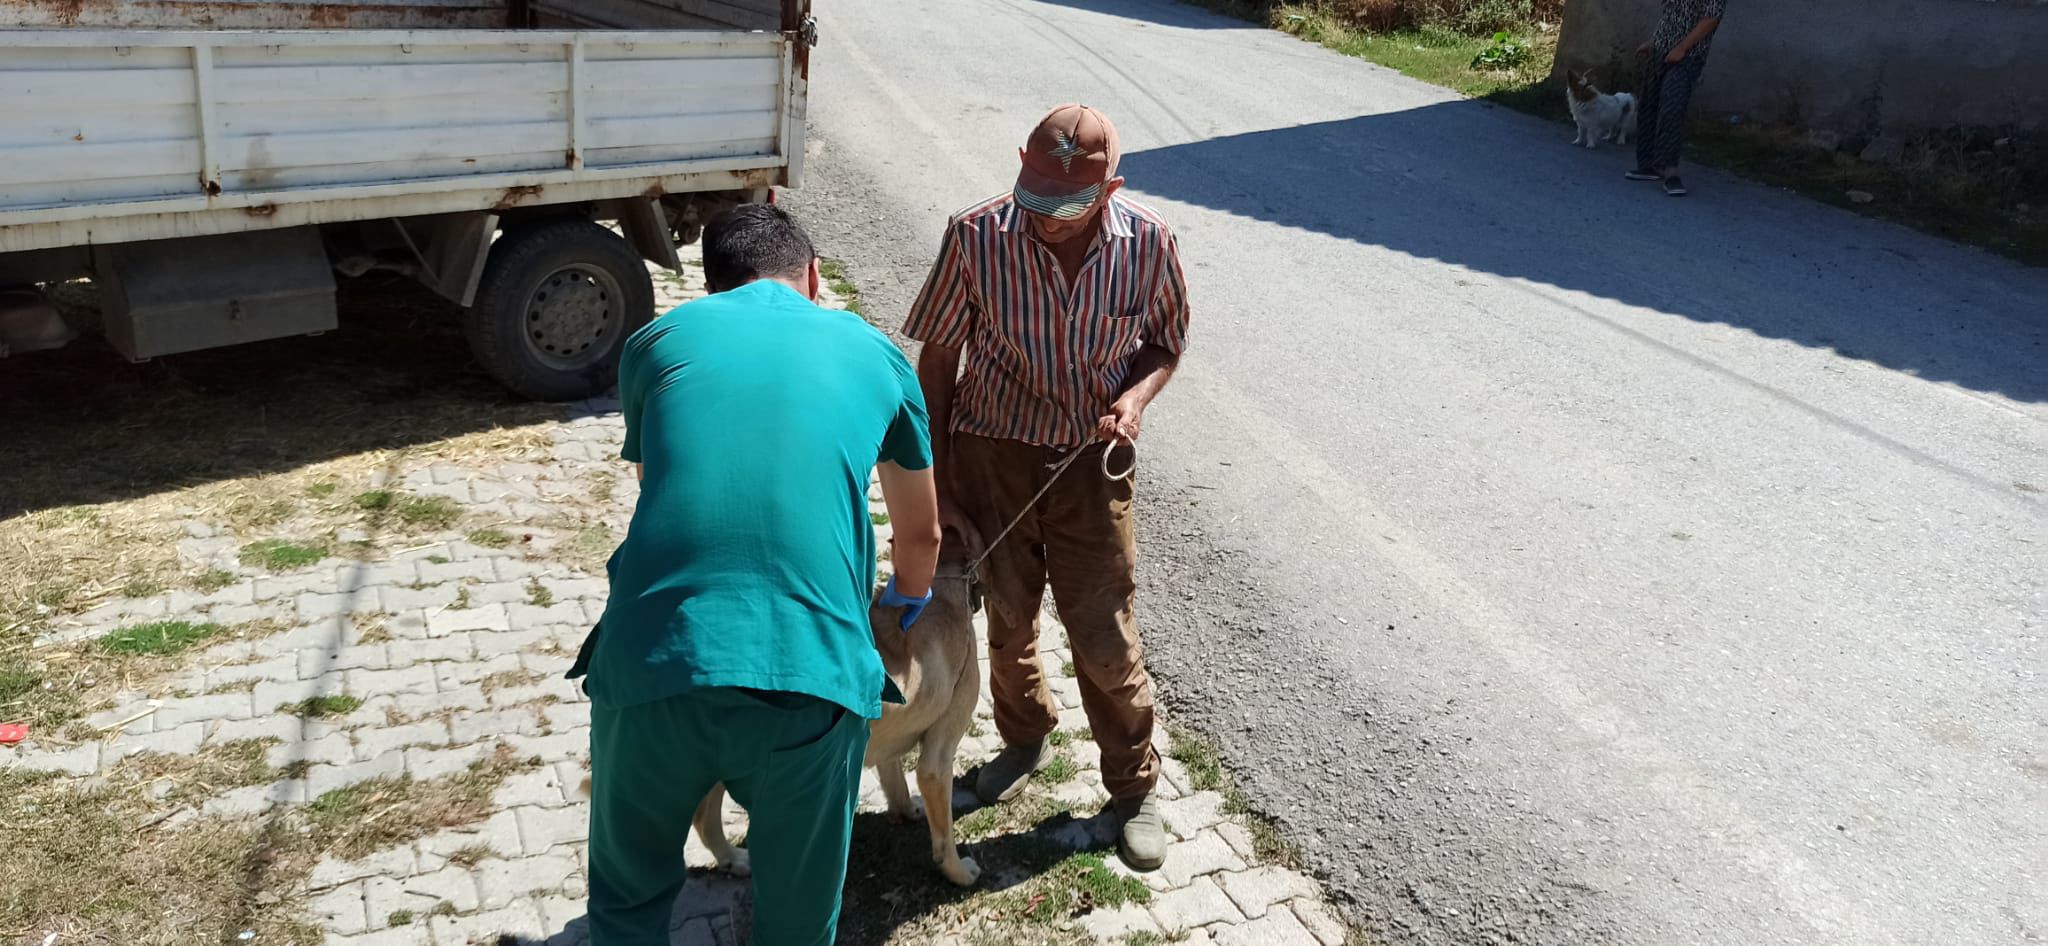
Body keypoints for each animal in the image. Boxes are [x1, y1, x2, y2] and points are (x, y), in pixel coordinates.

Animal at [581, 540, 987, 888]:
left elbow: (894, 780)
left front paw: (906, 810)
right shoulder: (937, 759)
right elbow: (943, 831)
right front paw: (957, 871)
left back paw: (730, 860)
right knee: (701, 815)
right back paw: (734, 858)